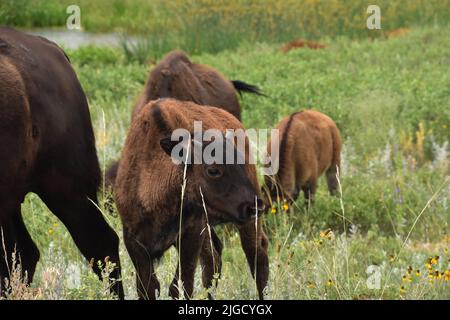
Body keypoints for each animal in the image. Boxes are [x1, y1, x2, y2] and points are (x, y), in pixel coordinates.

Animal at [116, 99, 268, 300]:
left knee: (256, 257)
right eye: (213, 170)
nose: (254, 206)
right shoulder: (133, 240)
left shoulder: (191, 234)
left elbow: (181, 285)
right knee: (214, 260)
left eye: (241, 164)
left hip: (247, 224)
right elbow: (148, 288)